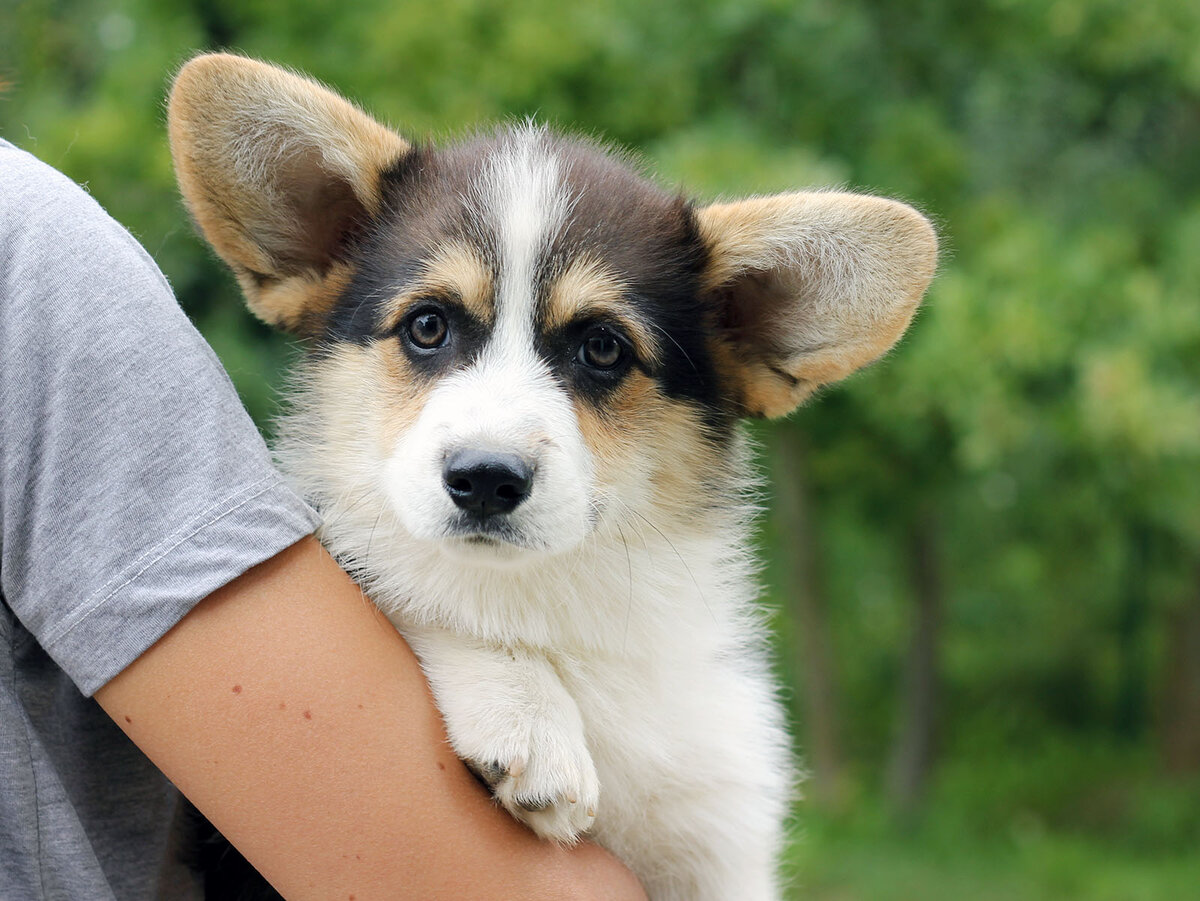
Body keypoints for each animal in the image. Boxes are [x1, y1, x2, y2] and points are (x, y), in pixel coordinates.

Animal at [166, 52, 936, 897]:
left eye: (603, 348)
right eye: (427, 325)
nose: (485, 479)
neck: (552, 599)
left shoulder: (720, 851)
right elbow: (402, 580)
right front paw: (528, 717)